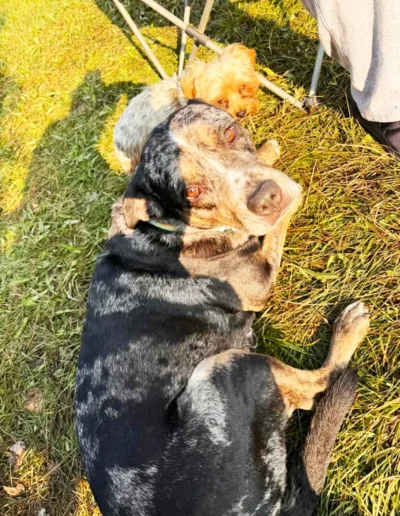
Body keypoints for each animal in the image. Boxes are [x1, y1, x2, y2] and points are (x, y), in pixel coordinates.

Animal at [75, 102, 368, 516]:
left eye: (229, 134)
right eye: (192, 191)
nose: (267, 196)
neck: (166, 227)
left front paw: (266, 152)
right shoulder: (258, 278)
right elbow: (273, 229)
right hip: (225, 368)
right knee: (315, 387)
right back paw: (349, 329)